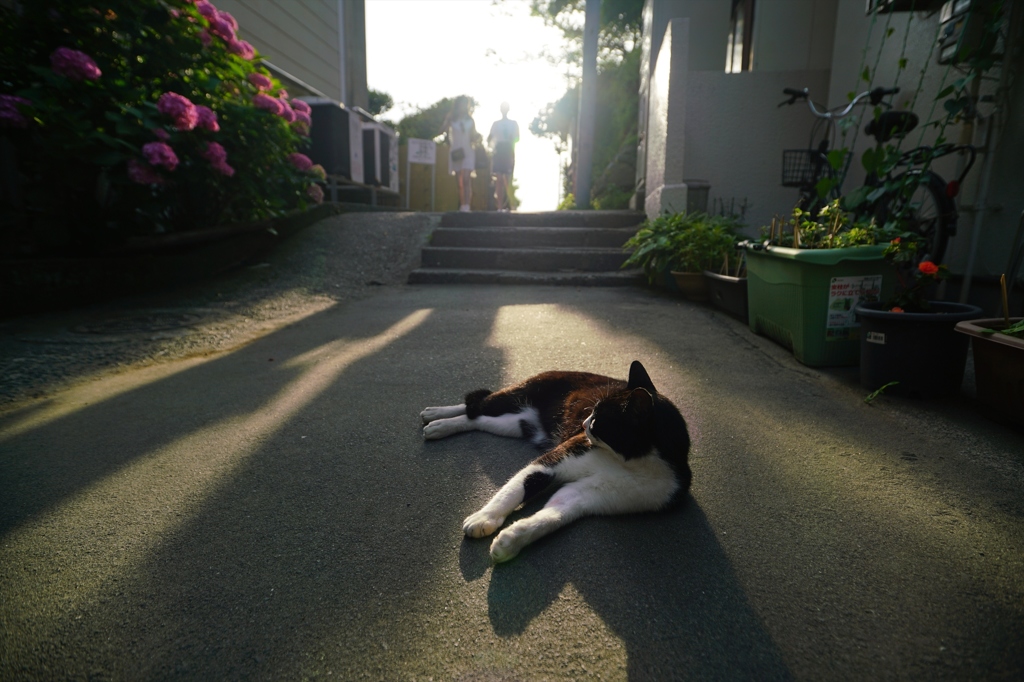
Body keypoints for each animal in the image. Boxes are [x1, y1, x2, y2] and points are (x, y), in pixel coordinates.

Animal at [419, 358, 692, 561]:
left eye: (597, 419)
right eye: (591, 413)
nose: (583, 423)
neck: (631, 463)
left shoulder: (590, 495)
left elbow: (553, 516)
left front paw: (512, 540)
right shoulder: (556, 459)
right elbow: (514, 490)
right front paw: (484, 517)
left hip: (514, 423)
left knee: (476, 419)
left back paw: (441, 424)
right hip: (518, 395)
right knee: (477, 403)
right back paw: (436, 416)